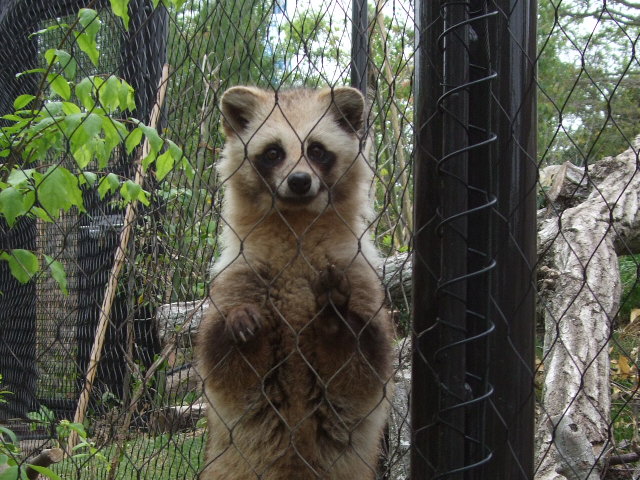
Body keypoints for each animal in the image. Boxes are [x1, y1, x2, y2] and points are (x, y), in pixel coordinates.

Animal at [198, 87, 392, 480]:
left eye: (317, 149)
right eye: (273, 152)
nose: (300, 181)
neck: (298, 223)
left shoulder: (357, 272)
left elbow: (363, 368)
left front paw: (335, 322)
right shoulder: (240, 271)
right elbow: (227, 370)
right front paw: (242, 326)